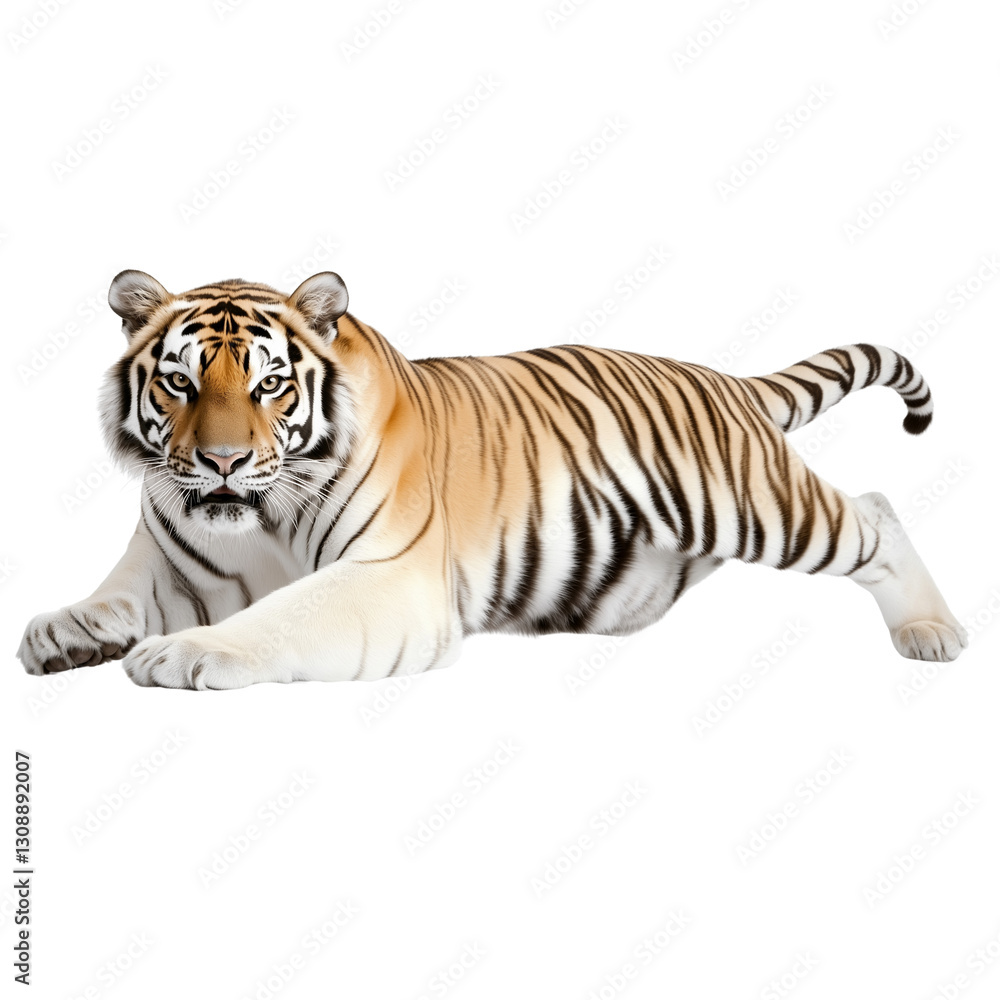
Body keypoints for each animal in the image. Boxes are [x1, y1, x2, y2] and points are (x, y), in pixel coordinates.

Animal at [17, 269, 967, 689]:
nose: (222, 462)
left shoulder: (389, 578)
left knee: (875, 512)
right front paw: (61, 633)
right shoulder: (168, 565)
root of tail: (726, 380)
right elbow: (111, 596)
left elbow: (280, 614)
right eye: (180, 383)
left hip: (753, 503)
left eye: (269, 385)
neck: (260, 519)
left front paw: (184, 653)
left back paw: (932, 632)